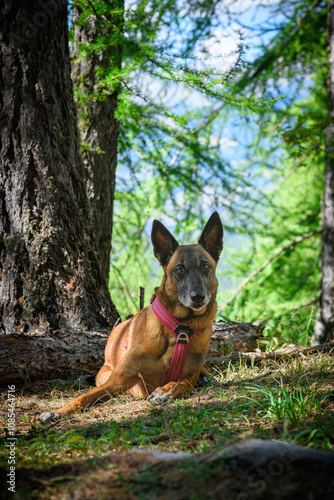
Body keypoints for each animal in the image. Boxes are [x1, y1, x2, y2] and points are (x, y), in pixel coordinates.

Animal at [37, 211, 223, 422]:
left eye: (205, 266)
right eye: (180, 269)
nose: (198, 297)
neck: (180, 327)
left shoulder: (188, 378)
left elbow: (179, 384)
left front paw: (163, 392)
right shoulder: (116, 381)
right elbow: (82, 398)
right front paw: (56, 412)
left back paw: (206, 377)